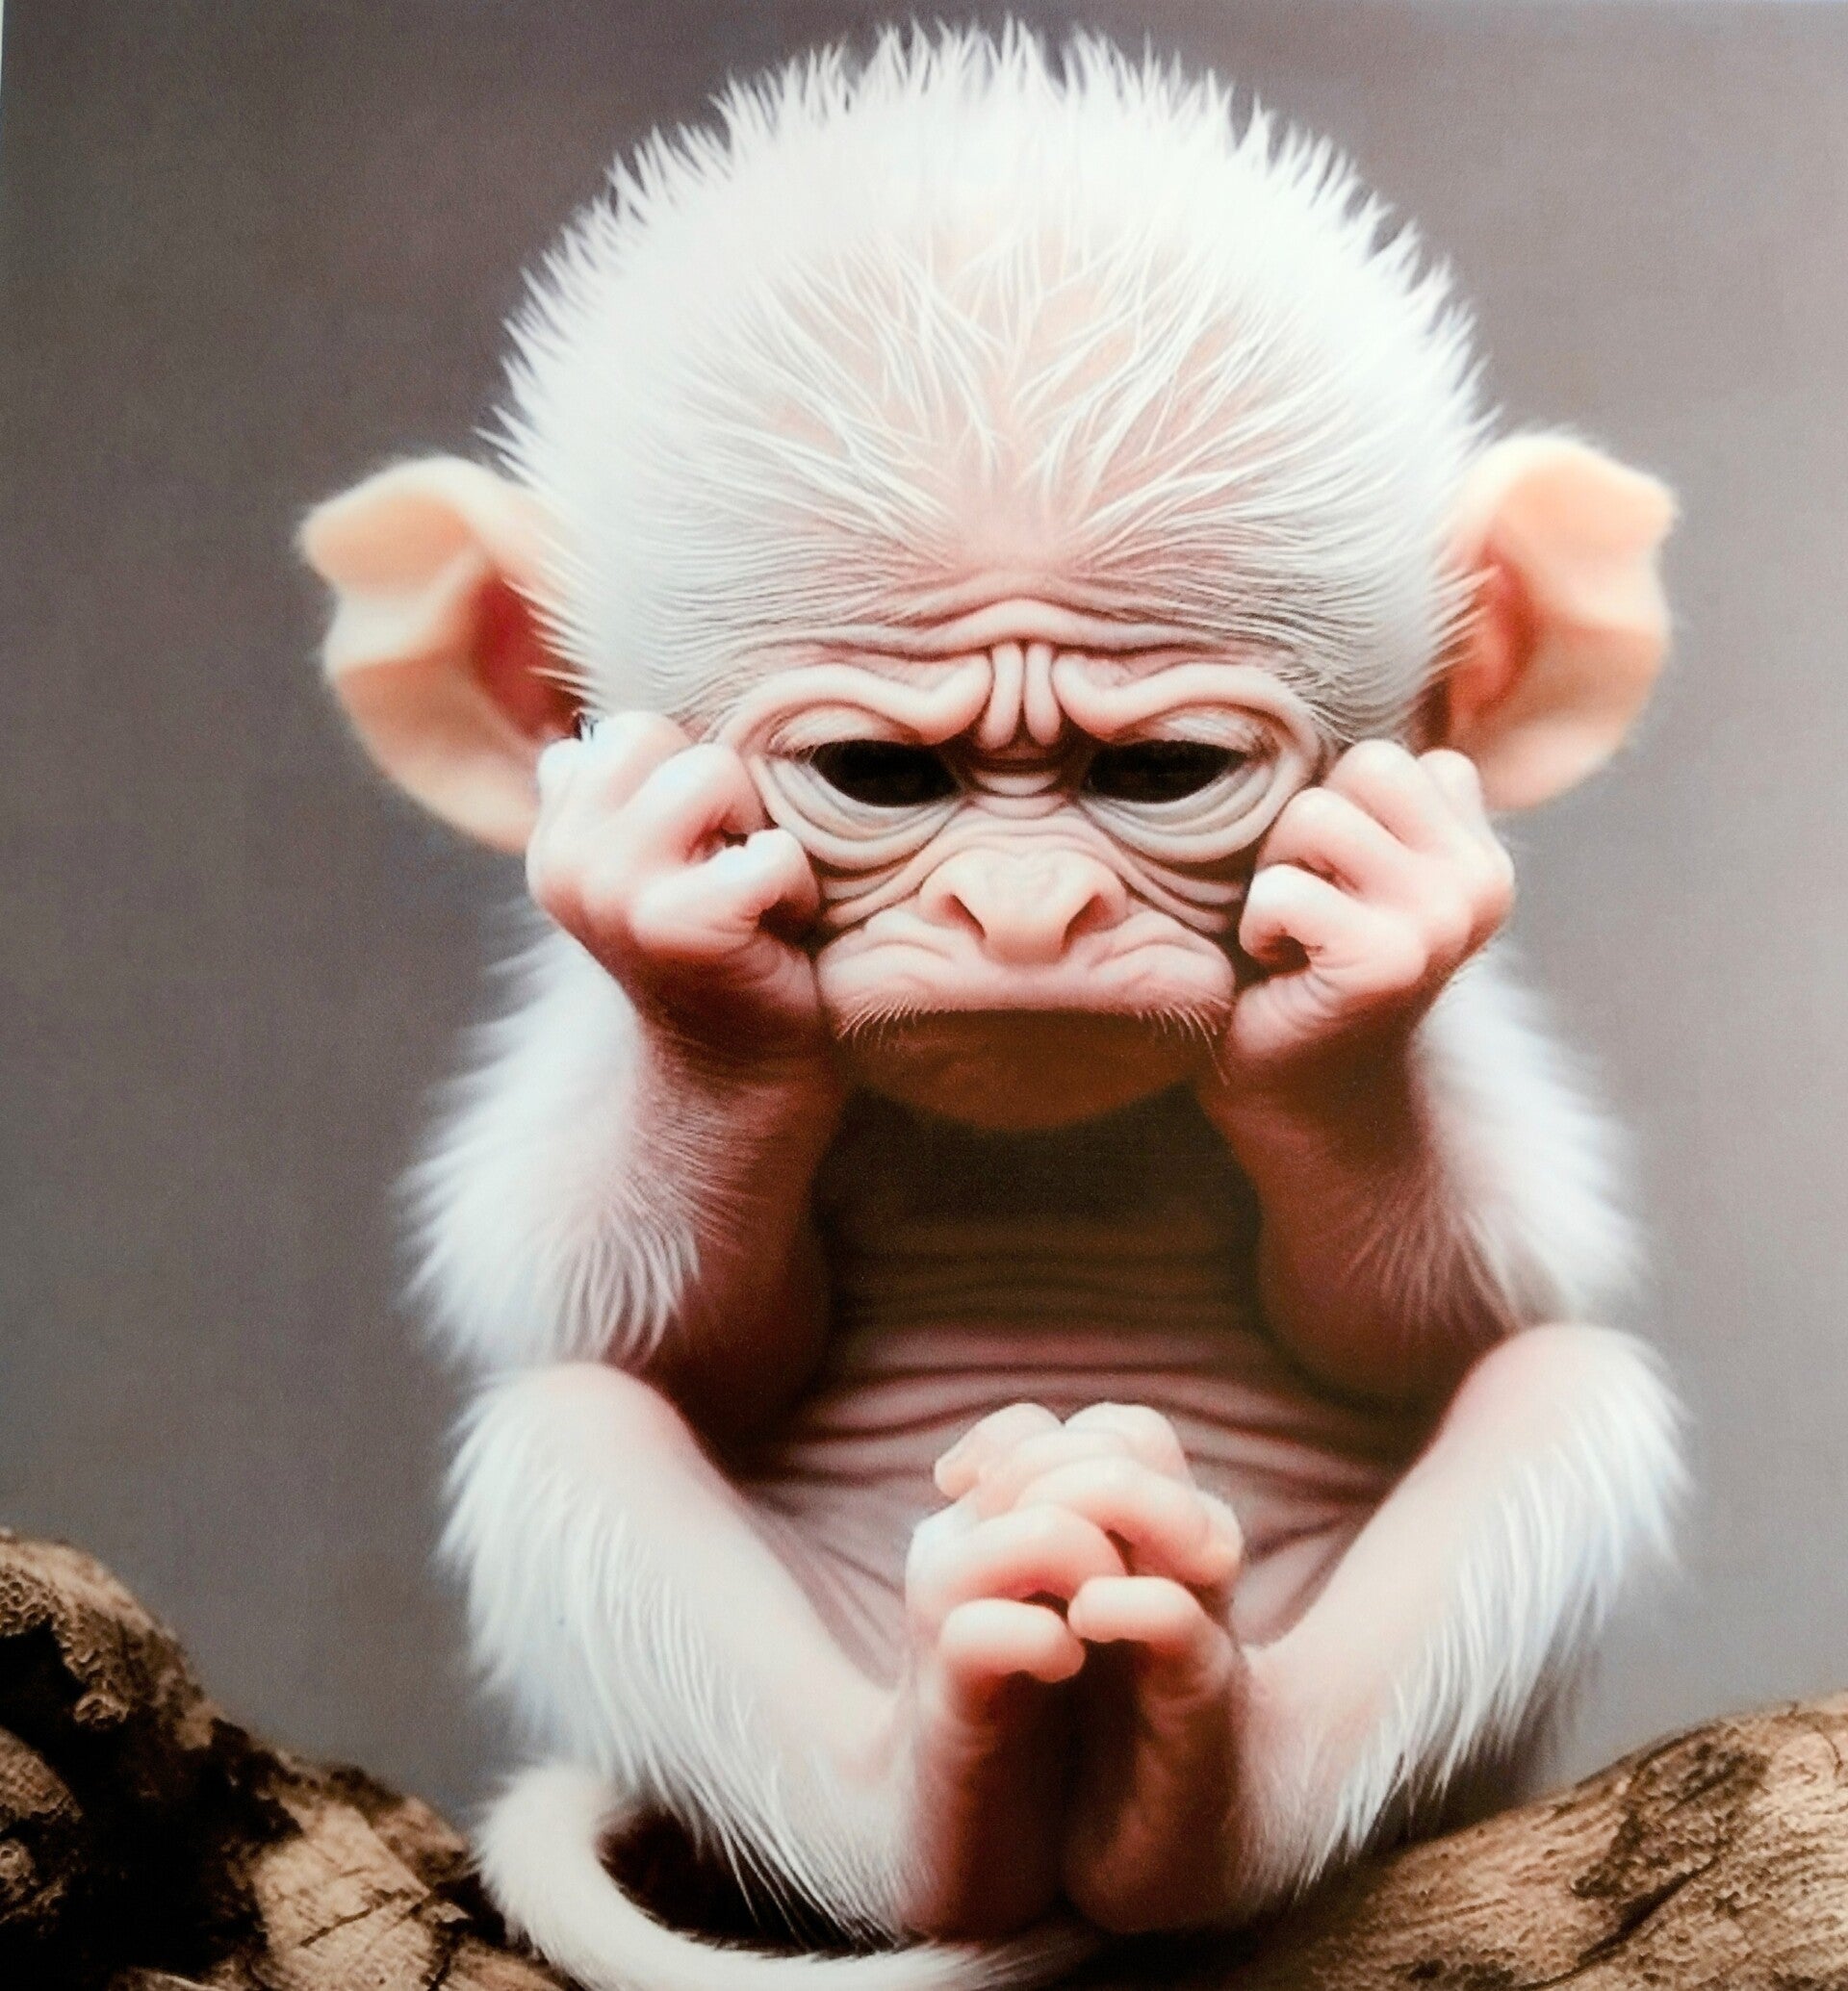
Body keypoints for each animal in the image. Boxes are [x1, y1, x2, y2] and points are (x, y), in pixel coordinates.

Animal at [300, 27, 1683, 1991]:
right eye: (879, 775)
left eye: (1161, 771)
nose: (1023, 911)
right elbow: (654, 1326)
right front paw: (691, 968)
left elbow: (1439, 1316)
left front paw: (1360, 984)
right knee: (565, 1427)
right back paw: (930, 1789)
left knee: (1566, 1389)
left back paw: (1209, 1778)